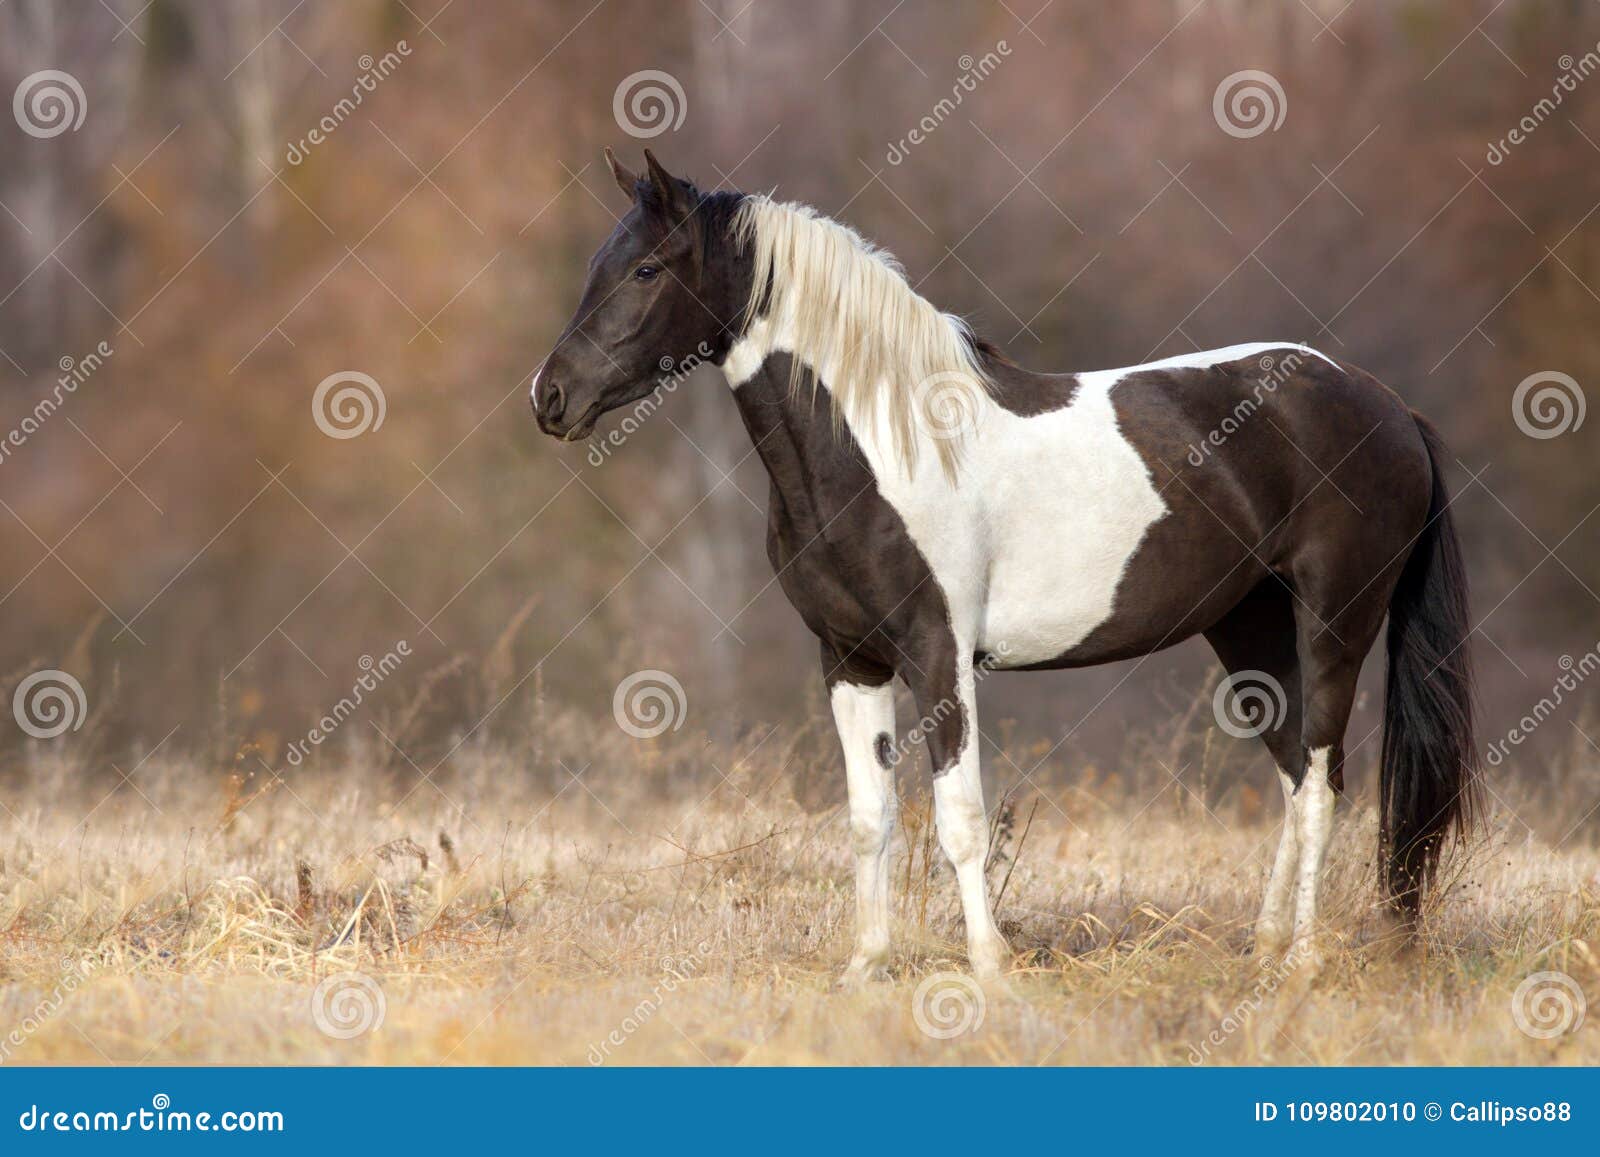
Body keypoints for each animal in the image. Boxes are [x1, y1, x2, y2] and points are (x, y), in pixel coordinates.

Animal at [531, 149, 1478, 979]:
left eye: (647, 269)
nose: (551, 398)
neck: (884, 441)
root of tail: (1388, 407)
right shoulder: (849, 657)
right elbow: (870, 817)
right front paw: (867, 966)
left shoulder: (938, 652)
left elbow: (958, 817)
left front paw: (989, 969)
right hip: (1249, 628)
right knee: (1294, 775)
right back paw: (1268, 949)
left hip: (1335, 622)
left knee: (1321, 781)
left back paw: (1306, 963)